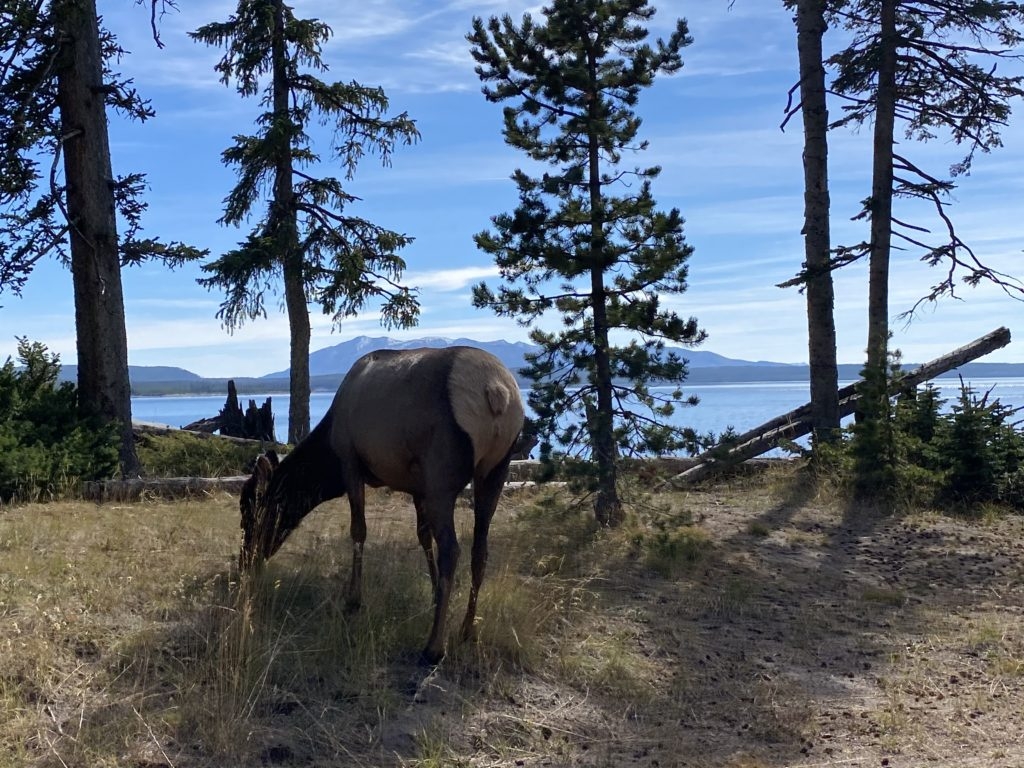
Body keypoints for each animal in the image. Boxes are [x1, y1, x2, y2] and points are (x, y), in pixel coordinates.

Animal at [239, 346, 524, 663]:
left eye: (248, 509)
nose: (245, 560)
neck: (328, 462)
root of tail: (496, 392)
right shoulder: (417, 486)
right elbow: (423, 536)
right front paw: (434, 592)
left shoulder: (350, 460)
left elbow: (358, 530)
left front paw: (353, 598)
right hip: (496, 470)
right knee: (480, 550)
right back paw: (467, 629)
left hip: (443, 471)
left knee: (452, 549)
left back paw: (434, 647)